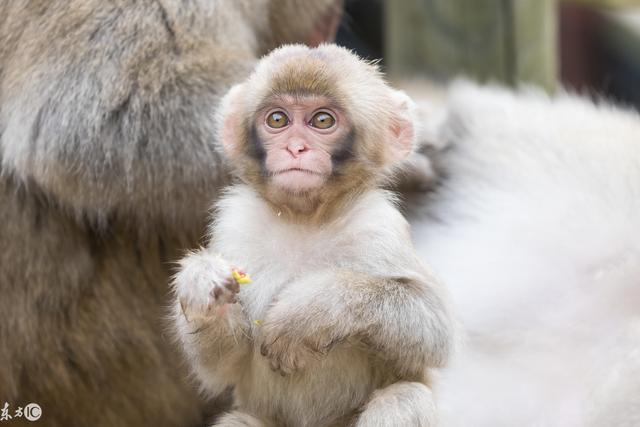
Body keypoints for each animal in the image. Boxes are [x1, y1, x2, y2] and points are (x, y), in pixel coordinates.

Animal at [172, 44, 452, 427]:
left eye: (322, 121)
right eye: (277, 120)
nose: (295, 148)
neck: (305, 219)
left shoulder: (378, 226)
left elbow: (434, 329)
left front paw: (310, 310)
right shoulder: (235, 226)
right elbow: (220, 366)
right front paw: (202, 283)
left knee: (405, 396)